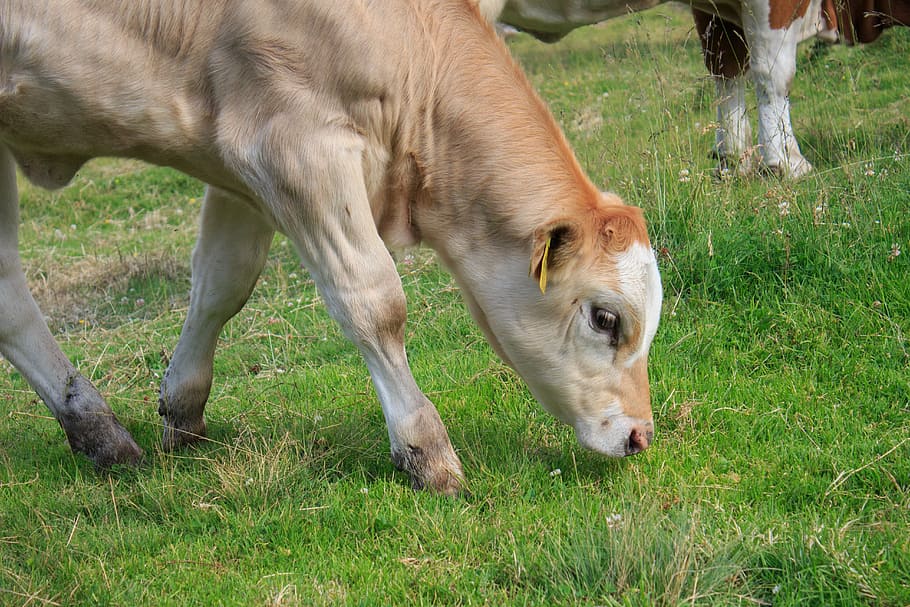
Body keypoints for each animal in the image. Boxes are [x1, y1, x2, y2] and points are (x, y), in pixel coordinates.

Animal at [0, 0, 663, 494]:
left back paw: (95, 428)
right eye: (606, 319)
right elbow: (375, 302)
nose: (641, 436)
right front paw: (426, 451)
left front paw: (182, 411)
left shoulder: (241, 172)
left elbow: (223, 283)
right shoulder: (294, 146)